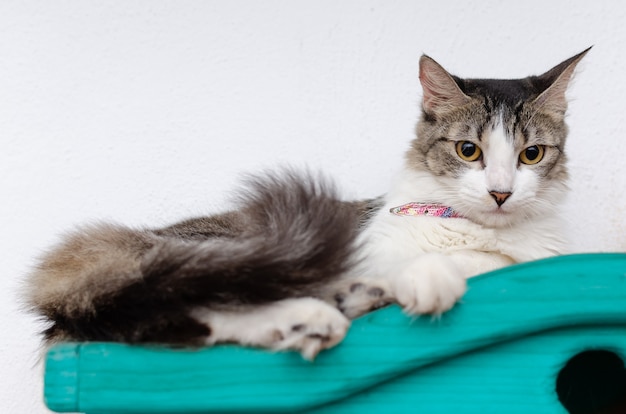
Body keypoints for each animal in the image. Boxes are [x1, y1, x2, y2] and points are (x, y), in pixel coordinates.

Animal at [22, 47, 588, 360]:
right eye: (469, 151)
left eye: (531, 154)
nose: (500, 192)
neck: (483, 232)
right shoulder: (367, 250)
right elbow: (445, 265)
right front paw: (432, 278)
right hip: (238, 255)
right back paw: (315, 314)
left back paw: (314, 319)